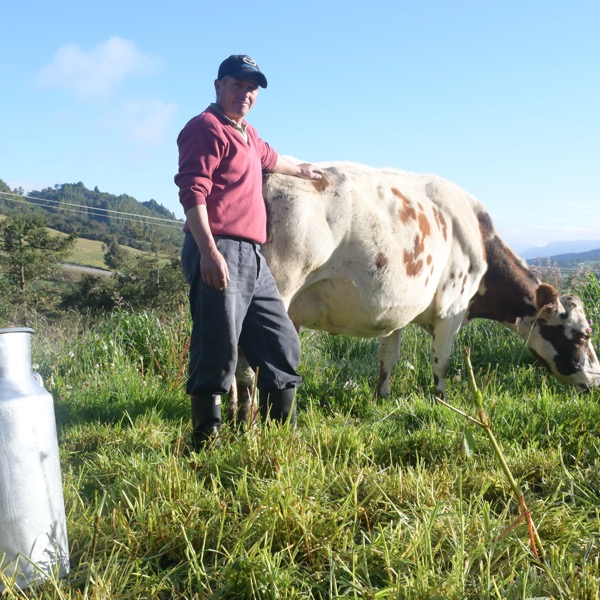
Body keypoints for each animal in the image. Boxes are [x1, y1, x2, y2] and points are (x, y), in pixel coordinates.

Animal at [227, 162, 596, 422]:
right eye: (581, 334)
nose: (596, 379)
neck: (478, 239)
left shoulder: (397, 310)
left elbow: (388, 359)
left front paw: (382, 398)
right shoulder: (452, 307)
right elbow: (442, 361)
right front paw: (442, 403)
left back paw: (232, 418)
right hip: (276, 289)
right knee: (249, 367)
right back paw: (250, 423)